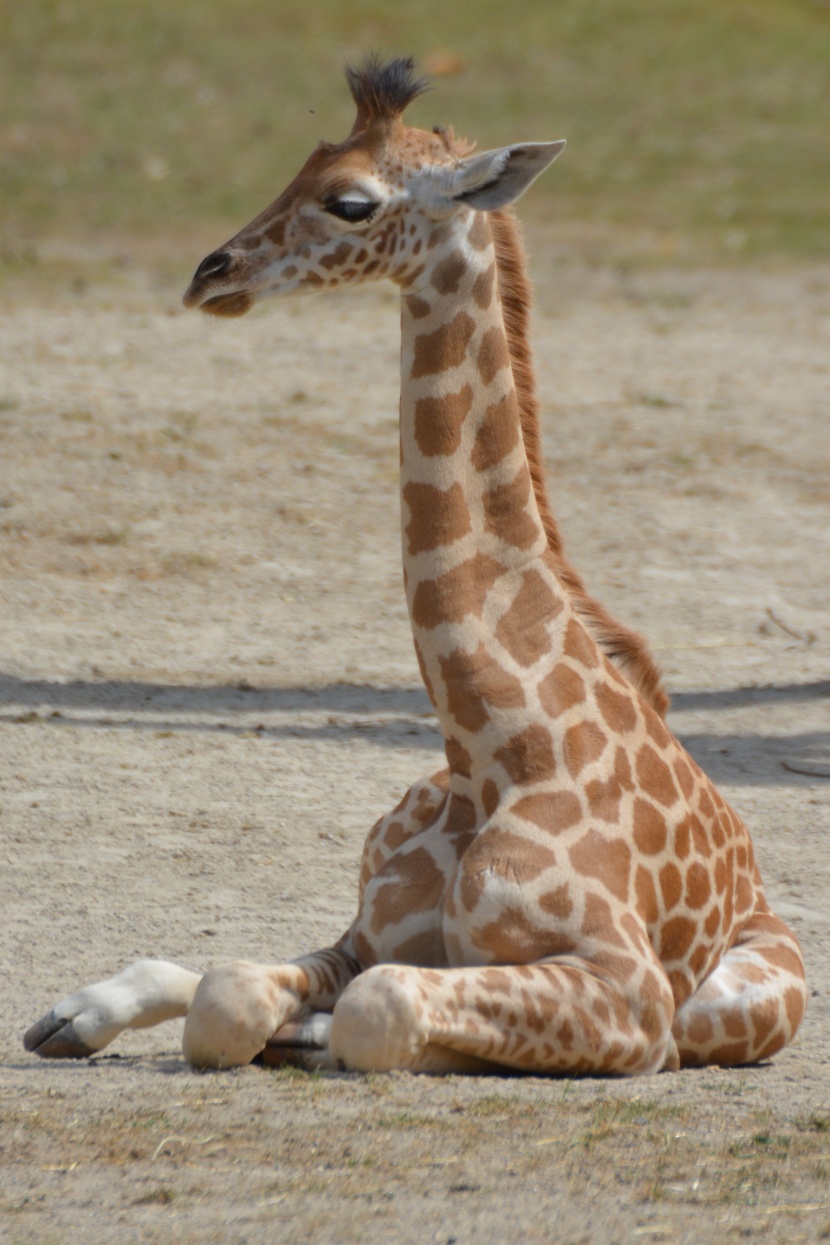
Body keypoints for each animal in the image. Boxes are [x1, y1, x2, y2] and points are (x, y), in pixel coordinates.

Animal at [25, 53, 806, 1075]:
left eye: (350, 201)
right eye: (300, 163)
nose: (210, 273)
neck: (490, 744)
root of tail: (758, 879)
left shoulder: (635, 997)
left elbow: (377, 1009)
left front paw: (339, 1036)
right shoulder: (366, 931)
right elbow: (234, 994)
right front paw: (267, 1025)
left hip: (744, 1003)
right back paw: (69, 1016)